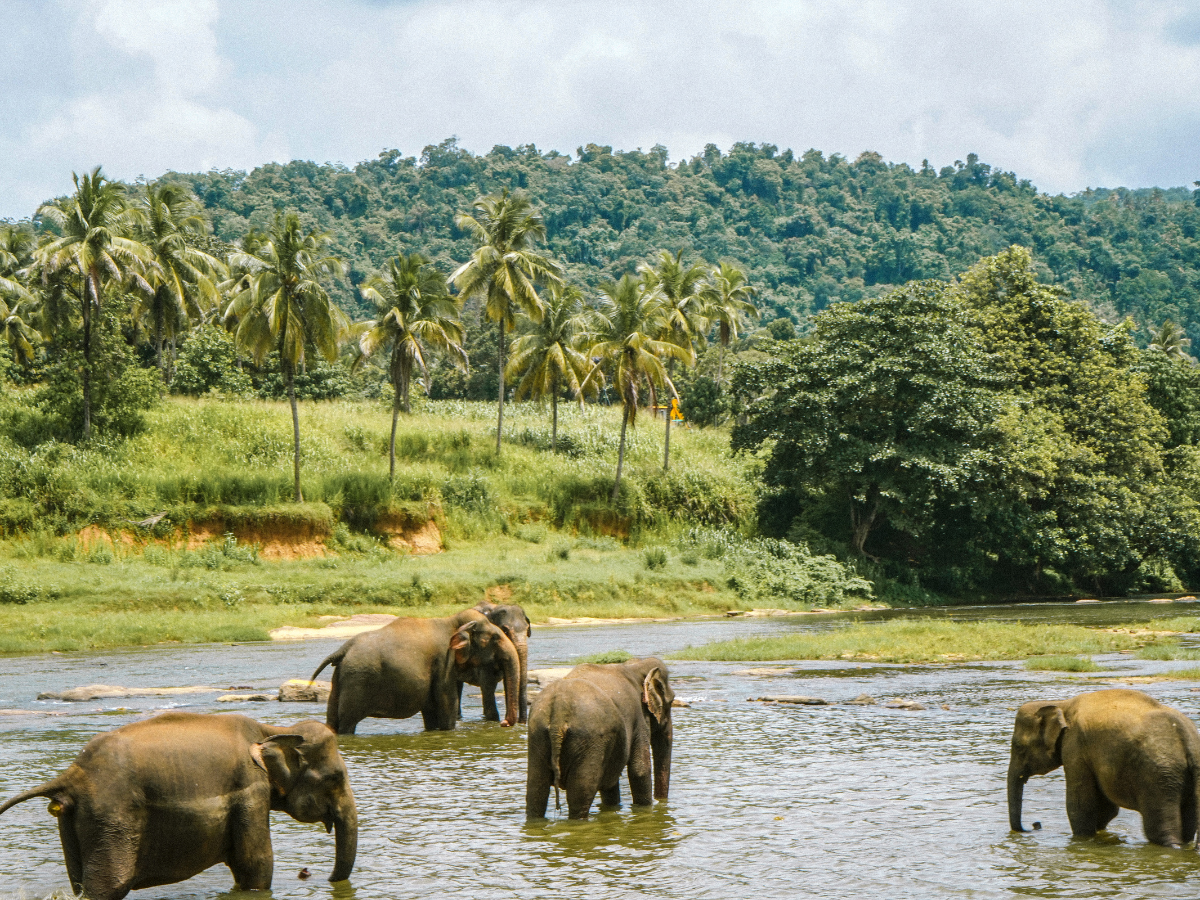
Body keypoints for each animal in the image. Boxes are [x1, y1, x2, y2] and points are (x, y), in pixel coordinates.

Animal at [0, 712, 356, 900]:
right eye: (335, 777)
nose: (319, 877)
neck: (273, 730)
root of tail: (72, 774)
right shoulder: (250, 789)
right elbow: (255, 865)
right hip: (112, 817)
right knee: (107, 886)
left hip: (75, 819)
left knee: (79, 883)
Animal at [312, 608, 521, 734]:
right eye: (495, 638)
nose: (504, 723)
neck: (451, 622)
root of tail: (343, 649)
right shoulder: (443, 662)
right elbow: (447, 707)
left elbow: (431, 712)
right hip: (357, 682)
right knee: (347, 723)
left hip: (340, 679)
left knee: (333, 720)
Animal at [526, 657, 674, 820]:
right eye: (671, 701)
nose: (661, 802)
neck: (635, 665)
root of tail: (559, 710)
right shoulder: (638, 718)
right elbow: (640, 770)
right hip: (589, 740)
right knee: (581, 794)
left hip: (537, 734)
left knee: (536, 790)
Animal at [1008, 688, 1200, 847]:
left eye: (1018, 747)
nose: (1034, 825)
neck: (1061, 704)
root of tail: (1189, 742)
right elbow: (1106, 808)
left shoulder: (1075, 747)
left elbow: (1081, 805)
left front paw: (1082, 839)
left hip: (1158, 778)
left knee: (1160, 830)